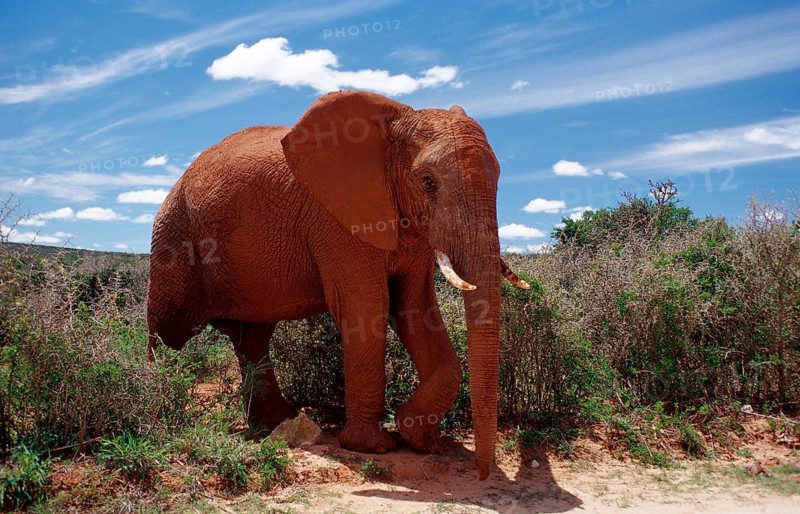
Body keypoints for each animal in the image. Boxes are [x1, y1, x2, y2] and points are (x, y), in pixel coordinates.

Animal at [146, 90, 529, 479]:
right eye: (427, 182)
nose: (481, 473)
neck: (392, 124)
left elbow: (415, 308)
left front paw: (421, 439)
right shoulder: (336, 221)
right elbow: (367, 307)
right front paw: (374, 447)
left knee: (252, 338)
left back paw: (275, 425)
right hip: (173, 237)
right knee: (167, 330)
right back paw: (156, 408)